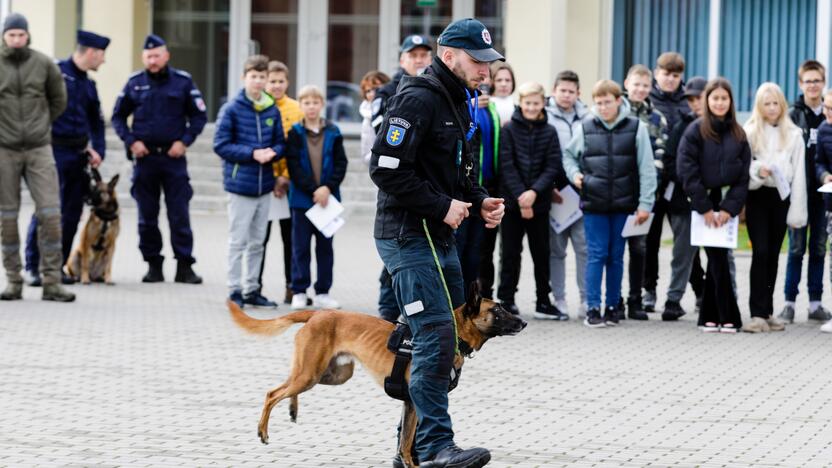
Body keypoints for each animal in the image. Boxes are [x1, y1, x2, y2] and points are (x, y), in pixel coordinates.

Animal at [228, 284, 528, 466]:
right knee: (272, 393)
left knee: (289, 387)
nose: (523, 322)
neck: (454, 334)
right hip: (311, 373)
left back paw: (292, 408)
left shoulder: (410, 404)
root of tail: (317, 313)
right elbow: (409, 439)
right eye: (497, 310)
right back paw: (263, 431)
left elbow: (405, 440)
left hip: (329, 374)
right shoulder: (419, 400)